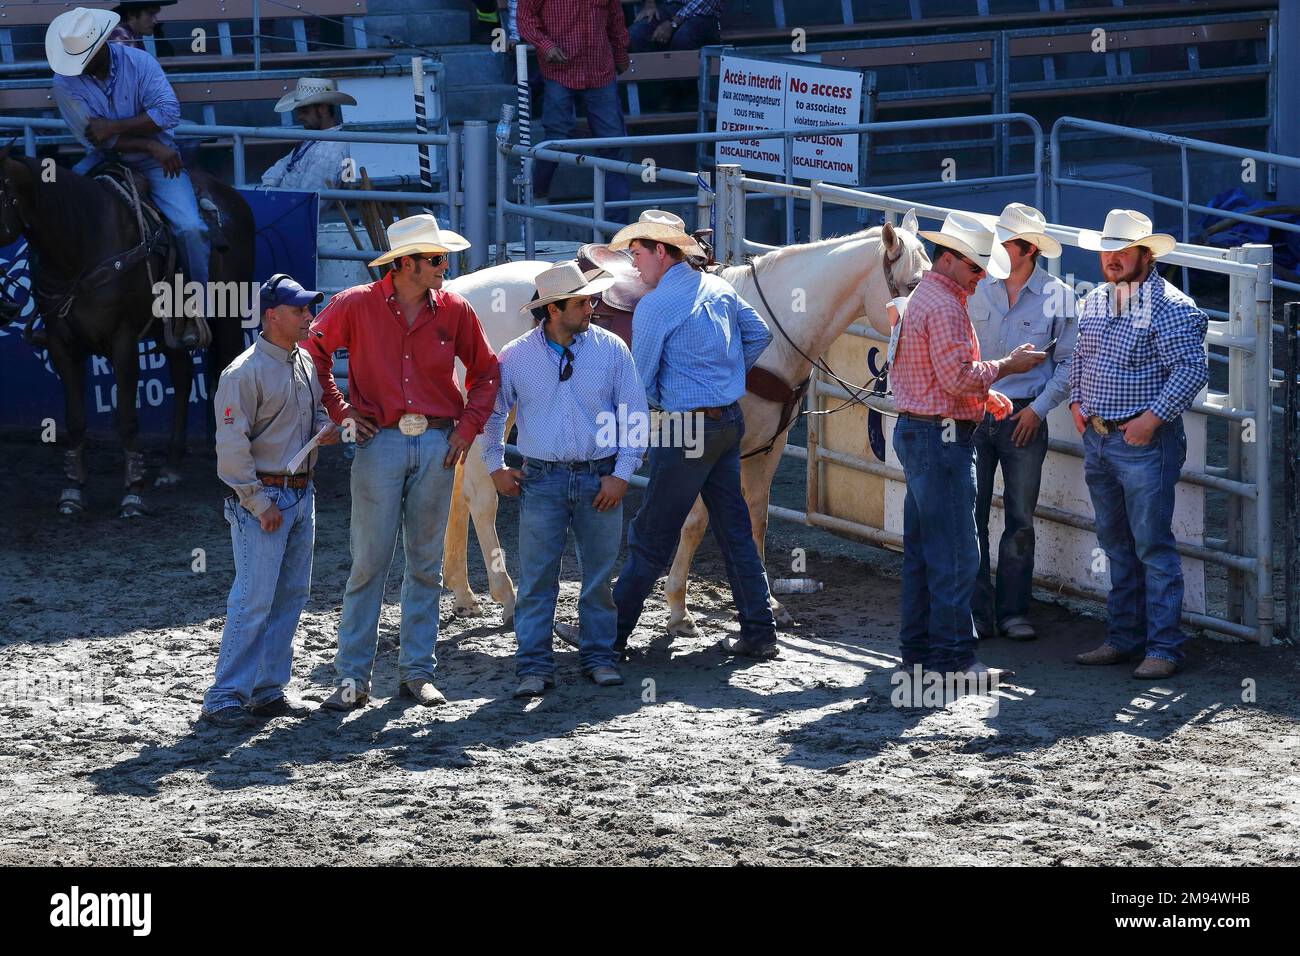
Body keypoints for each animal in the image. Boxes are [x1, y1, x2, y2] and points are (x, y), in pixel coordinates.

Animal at [0, 151, 253, 515]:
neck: (82, 241)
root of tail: (232, 196)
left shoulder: (122, 340)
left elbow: (126, 418)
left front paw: (133, 492)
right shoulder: (62, 344)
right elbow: (74, 419)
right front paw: (72, 490)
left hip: (229, 314)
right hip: (168, 329)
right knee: (182, 375)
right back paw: (171, 465)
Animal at [441, 214, 930, 634]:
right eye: (912, 284)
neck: (772, 330)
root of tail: (460, 290)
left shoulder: (766, 449)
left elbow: (755, 519)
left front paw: (770, 603)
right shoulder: (700, 444)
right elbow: (694, 523)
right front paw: (678, 609)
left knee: (460, 493)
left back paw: (464, 594)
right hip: (495, 418)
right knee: (482, 498)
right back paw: (506, 598)